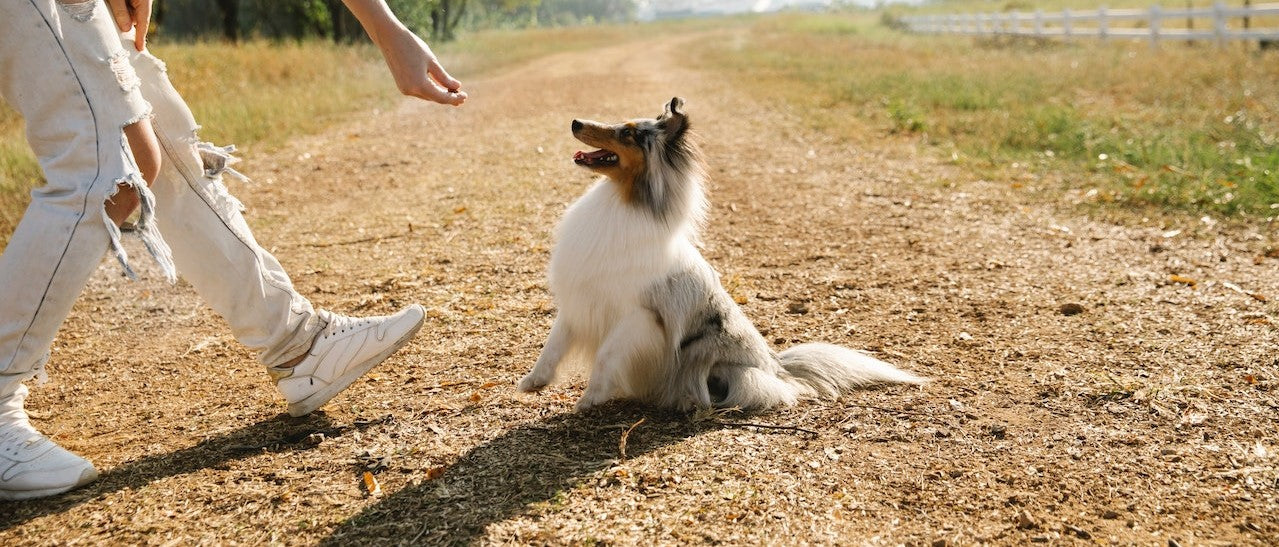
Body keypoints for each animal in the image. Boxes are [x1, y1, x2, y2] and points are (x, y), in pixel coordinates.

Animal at [514, 97, 925, 408]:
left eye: (628, 133)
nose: (575, 121)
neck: (623, 202)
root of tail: (777, 367)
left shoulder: (639, 317)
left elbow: (605, 356)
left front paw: (589, 399)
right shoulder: (580, 297)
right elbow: (553, 343)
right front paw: (533, 381)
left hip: (714, 358)